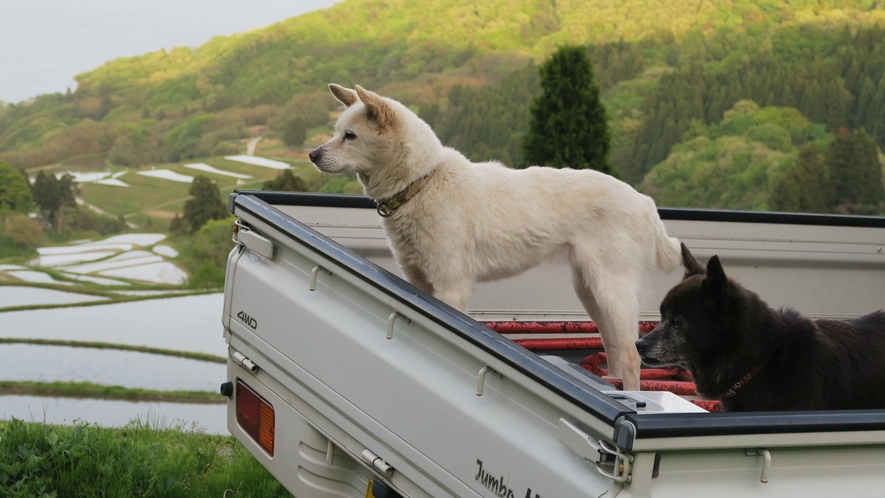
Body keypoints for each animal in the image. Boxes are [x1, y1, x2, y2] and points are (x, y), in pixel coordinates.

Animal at [308, 83, 680, 392]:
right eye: (337, 132)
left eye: (350, 136)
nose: (313, 154)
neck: (422, 182)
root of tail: (646, 202)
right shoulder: (418, 280)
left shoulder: (451, 287)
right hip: (590, 291)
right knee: (614, 350)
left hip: (613, 290)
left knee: (631, 357)